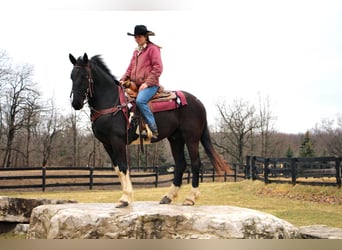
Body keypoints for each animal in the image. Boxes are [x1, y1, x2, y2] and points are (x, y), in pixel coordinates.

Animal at [68, 52, 231, 207]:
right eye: (71, 76)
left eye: (84, 76)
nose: (76, 103)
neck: (113, 103)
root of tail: (198, 102)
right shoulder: (107, 144)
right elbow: (118, 169)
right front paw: (127, 197)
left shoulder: (117, 141)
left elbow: (123, 167)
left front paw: (125, 199)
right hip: (175, 139)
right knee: (181, 164)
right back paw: (168, 197)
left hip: (191, 138)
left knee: (196, 164)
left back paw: (190, 199)